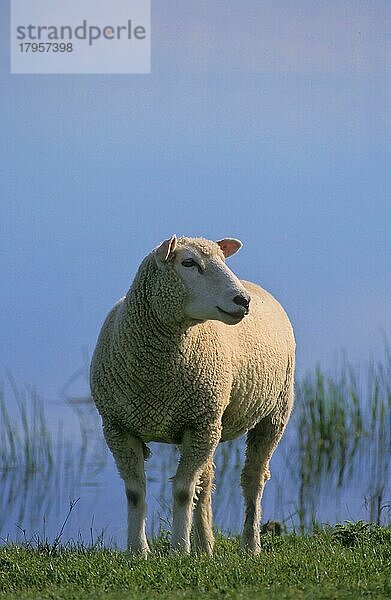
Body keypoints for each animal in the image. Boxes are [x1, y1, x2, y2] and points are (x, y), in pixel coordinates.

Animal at [90, 237, 296, 556]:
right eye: (188, 263)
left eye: (223, 261)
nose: (243, 301)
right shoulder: (118, 427)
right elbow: (136, 492)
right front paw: (138, 550)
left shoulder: (199, 423)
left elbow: (183, 491)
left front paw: (179, 548)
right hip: (208, 424)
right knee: (207, 481)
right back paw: (205, 546)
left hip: (272, 413)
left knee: (253, 479)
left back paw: (250, 545)